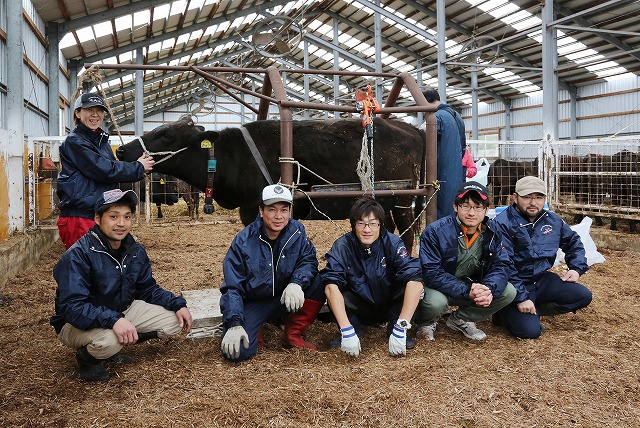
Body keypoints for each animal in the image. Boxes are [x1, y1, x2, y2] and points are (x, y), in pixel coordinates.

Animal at [116, 117, 424, 251]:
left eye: (166, 134)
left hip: (403, 199)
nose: (122, 150)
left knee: (408, 234)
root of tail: (410, 128)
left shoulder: (254, 206)